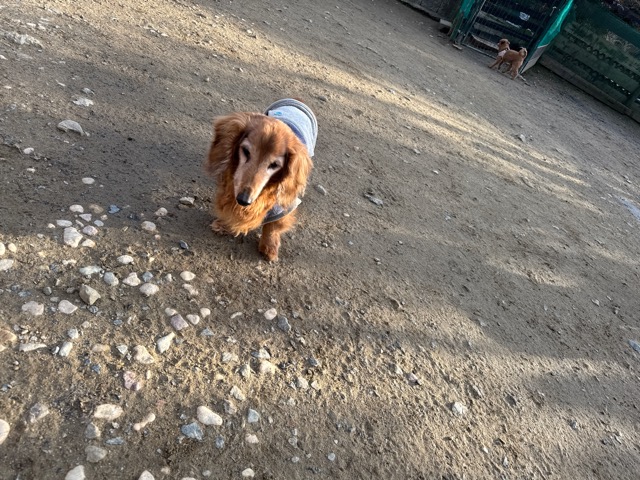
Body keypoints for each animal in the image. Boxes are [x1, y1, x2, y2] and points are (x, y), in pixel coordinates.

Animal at [205, 99, 316, 261]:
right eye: (245, 151)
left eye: (274, 165)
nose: (244, 200)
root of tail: (296, 100)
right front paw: (224, 224)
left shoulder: (284, 206)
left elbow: (274, 226)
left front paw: (269, 246)